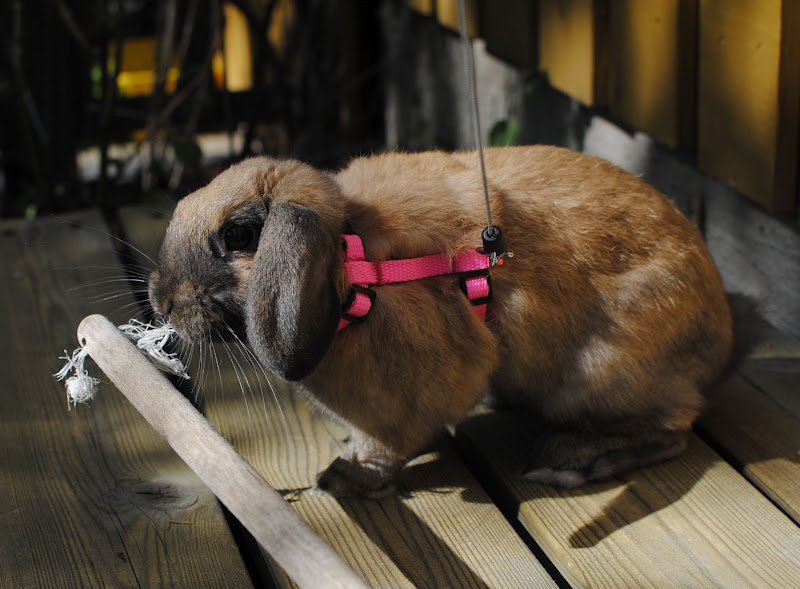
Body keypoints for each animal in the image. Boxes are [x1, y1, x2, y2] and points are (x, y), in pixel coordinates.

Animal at [148, 145, 736, 497]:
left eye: (239, 235)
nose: (161, 300)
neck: (352, 264)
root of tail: (719, 343)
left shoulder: (401, 405)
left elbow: (384, 447)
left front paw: (343, 479)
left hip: (596, 378)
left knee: (672, 430)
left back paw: (570, 458)